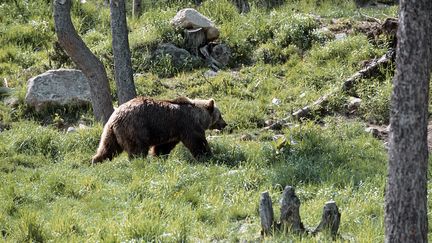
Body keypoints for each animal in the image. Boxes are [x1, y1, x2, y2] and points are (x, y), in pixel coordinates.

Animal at [91, 97, 226, 163]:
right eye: (220, 115)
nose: (225, 124)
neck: (199, 117)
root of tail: (114, 117)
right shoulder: (187, 125)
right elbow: (197, 141)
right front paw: (208, 156)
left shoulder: (173, 131)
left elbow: (164, 146)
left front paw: (159, 156)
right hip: (135, 128)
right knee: (137, 149)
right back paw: (139, 162)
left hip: (111, 133)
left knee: (108, 148)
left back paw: (96, 160)